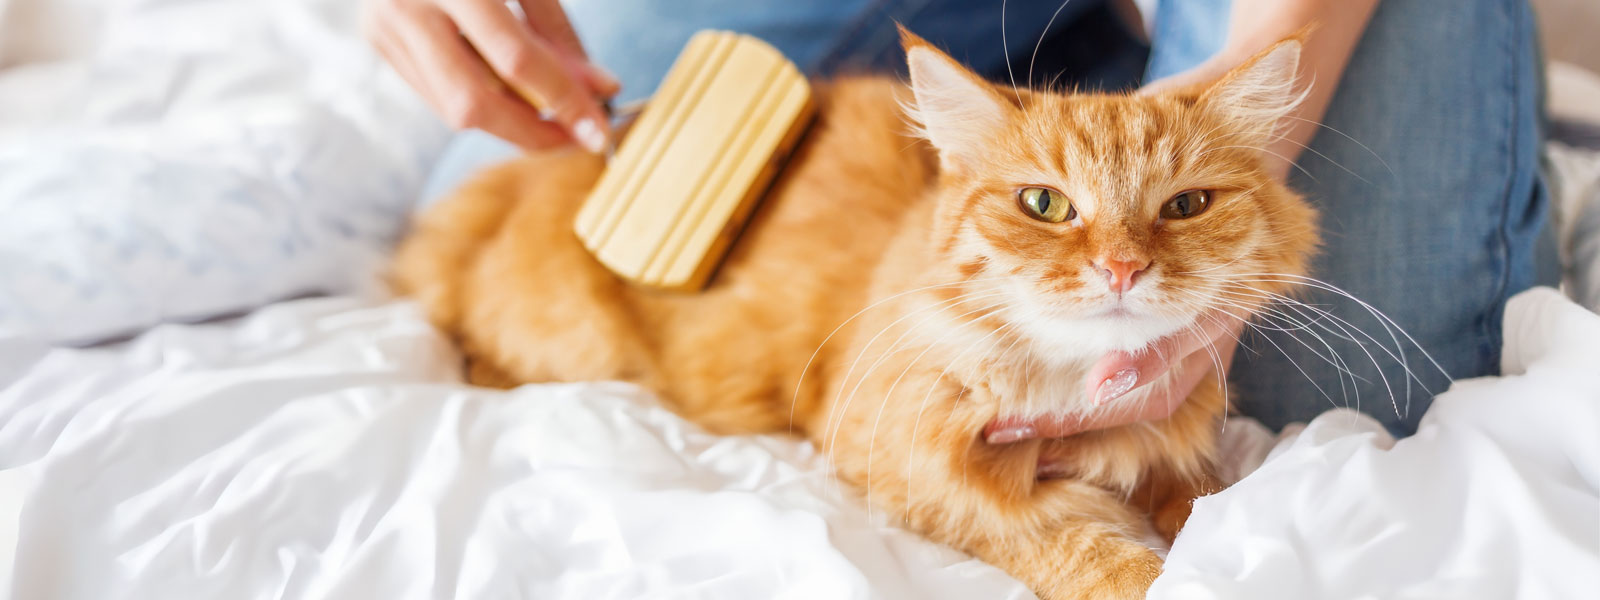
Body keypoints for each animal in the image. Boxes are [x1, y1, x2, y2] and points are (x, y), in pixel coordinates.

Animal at [393, 29, 1318, 600]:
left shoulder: (1177, 448)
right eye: (1045, 205)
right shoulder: (910, 466)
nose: (1123, 268)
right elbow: (1073, 543)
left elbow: (1205, 502)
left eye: (1186, 206)